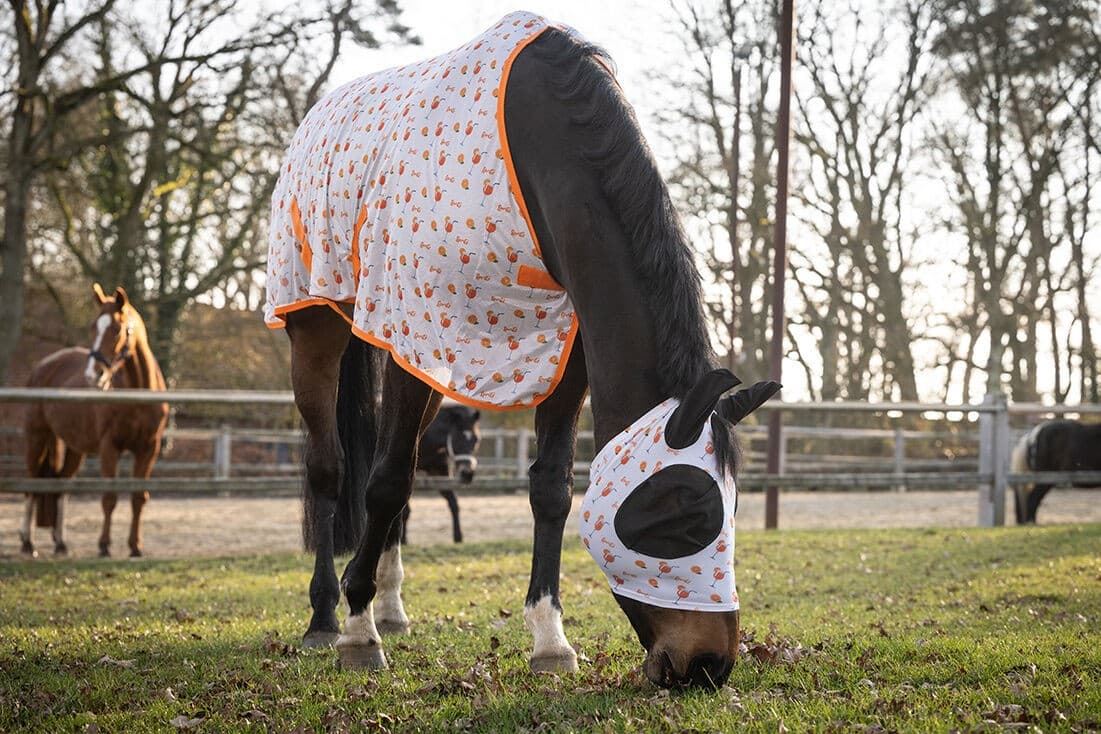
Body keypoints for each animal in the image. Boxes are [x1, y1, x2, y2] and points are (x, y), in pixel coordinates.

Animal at [20, 284, 168, 558]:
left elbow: (138, 498)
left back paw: (60, 543)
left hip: (74, 447)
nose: (94, 374)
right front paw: (104, 545)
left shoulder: (148, 448)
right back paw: (27, 542)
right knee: (32, 485)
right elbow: (109, 498)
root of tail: (42, 367)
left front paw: (135, 546)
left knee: (62, 487)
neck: (138, 394)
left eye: (117, 328)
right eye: (92, 327)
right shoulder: (110, 447)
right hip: (37, 437)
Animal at [400, 405, 481, 544]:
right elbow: (405, 510)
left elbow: (453, 502)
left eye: (476, 439)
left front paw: (458, 536)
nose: (467, 474)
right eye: (457, 438)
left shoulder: (439, 471)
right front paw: (403, 539)